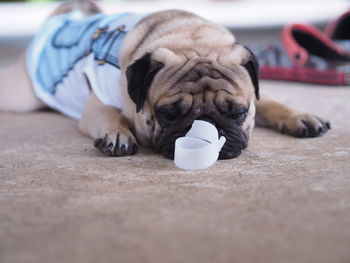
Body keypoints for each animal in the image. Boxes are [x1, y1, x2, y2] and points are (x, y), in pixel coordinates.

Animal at [0, 0, 330, 160]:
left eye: (238, 113)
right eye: (167, 114)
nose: (206, 126)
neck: (189, 38)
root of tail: (58, 21)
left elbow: (272, 103)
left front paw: (300, 117)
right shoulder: (98, 105)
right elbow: (110, 115)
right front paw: (117, 134)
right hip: (20, 97)